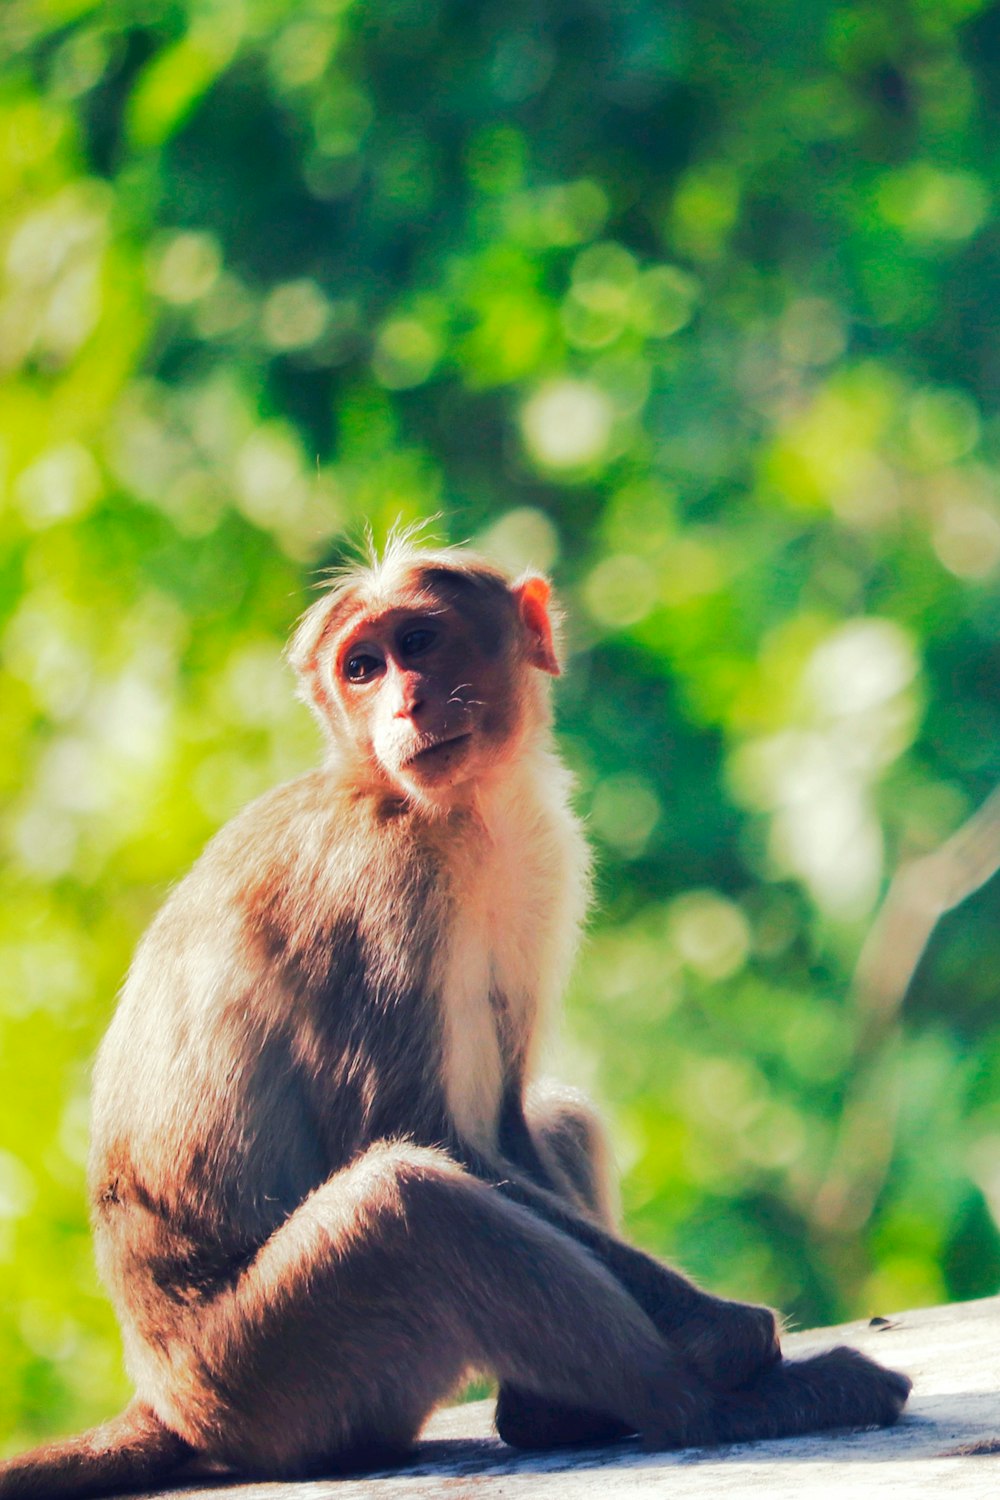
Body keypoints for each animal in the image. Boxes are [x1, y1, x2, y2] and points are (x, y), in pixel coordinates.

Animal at [0, 540, 911, 1500]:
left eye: (419, 642)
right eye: (362, 668)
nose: (406, 702)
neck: (456, 812)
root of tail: (163, 1397)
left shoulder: (542, 862)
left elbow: (508, 1124)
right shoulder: (379, 885)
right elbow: (415, 1129)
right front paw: (725, 1333)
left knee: (553, 1123)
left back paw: (554, 1415)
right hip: (264, 1376)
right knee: (408, 1204)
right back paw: (703, 1409)